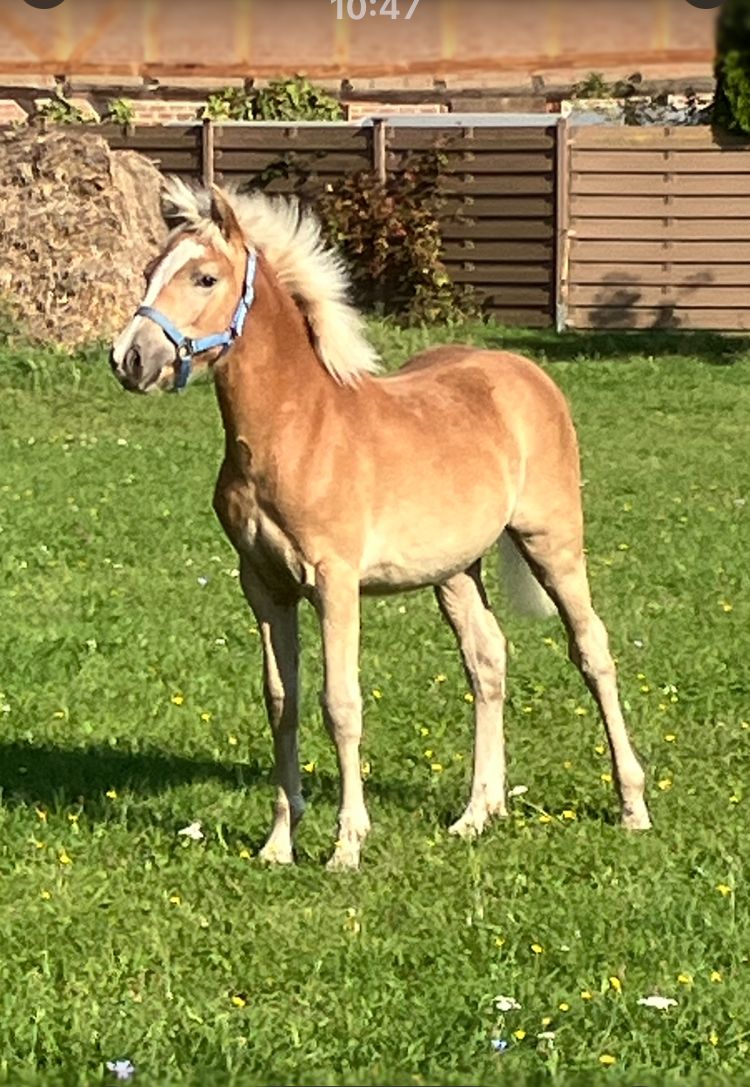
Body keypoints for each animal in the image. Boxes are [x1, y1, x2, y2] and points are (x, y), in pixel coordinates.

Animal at [109, 178, 651, 870]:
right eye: (150, 270)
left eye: (205, 277)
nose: (129, 358)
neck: (297, 429)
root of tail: (526, 372)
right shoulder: (263, 585)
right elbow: (281, 703)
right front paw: (278, 843)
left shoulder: (334, 582)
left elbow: (340, 704)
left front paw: (347, 845)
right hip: (455, 572)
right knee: (487, 660)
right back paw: (478, 813)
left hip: (551, 541)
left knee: (592, 650)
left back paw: (632, 807)